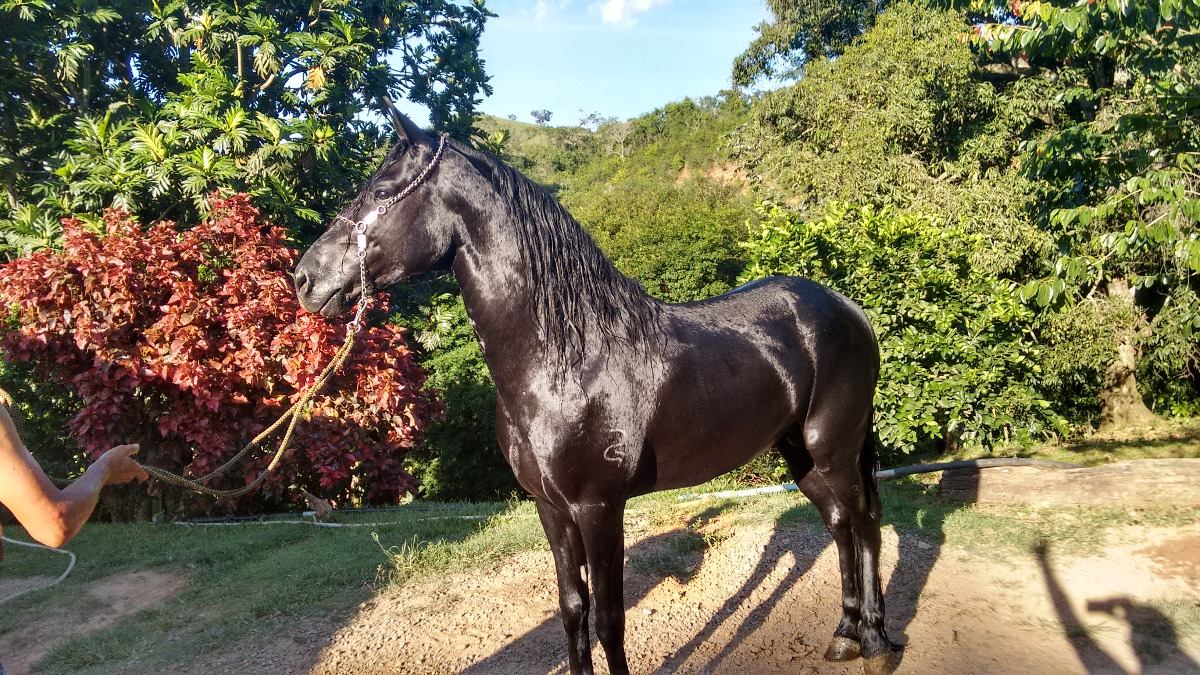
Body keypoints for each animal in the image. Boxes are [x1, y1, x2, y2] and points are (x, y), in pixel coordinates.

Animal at [292, 112, 902, 667]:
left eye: (380, 191)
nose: (304, 278)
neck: (564, 360)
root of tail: (847, 308)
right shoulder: (552, 509)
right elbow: (572, 610)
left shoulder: (599, 507)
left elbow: (609, 619)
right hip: (801, 455)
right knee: (840, 525)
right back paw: (844, 636)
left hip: (834, 447)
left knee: (866, 523)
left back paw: (875, 644)